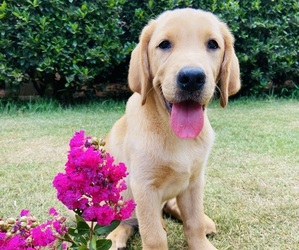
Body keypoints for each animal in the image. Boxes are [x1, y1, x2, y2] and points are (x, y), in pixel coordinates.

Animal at [105, 7, 241, 250]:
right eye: (164, 44)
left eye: (213, 44)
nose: (192, 77)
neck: (174, 133)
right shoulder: (144, 186)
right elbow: (153, 236)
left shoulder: (195, 181)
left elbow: (194, 222)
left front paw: (201, 242)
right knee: (126, 220)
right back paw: (116, 236)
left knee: (170, 207)